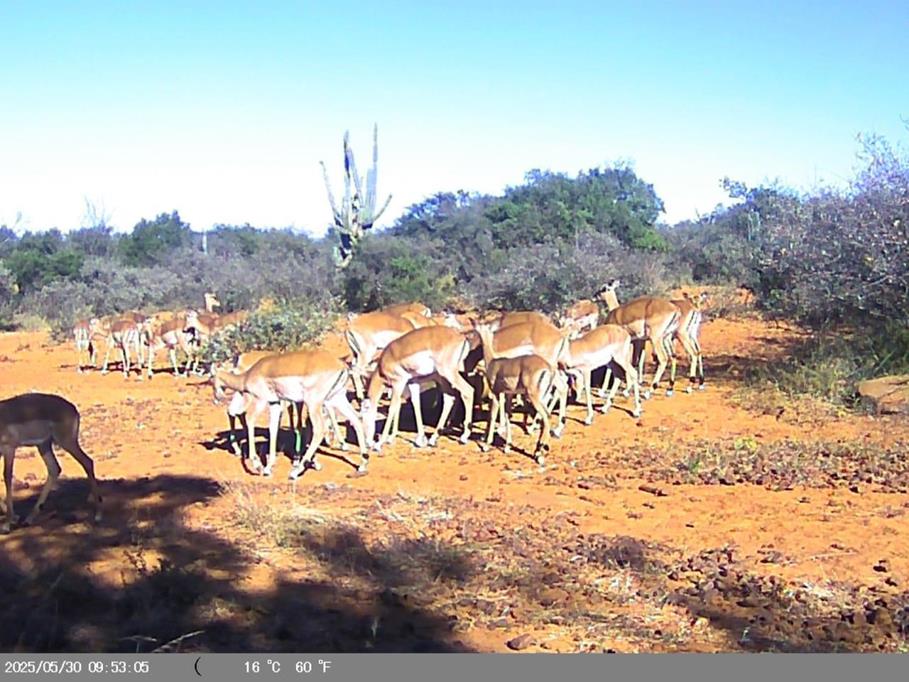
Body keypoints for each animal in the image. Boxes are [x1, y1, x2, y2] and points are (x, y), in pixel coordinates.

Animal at [0, 393, 103, 533]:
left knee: (87, 462)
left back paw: (98, 515)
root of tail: (72, 408)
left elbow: (7, 476)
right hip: (44, 445)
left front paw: (7, 524)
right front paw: (14, 518)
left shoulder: (9, 449)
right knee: (55, 468)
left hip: (66, 442)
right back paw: (28, 519)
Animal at [212, 349, 367, 479]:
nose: (216, 399)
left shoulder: (261, 400)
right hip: (336, 399)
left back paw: (296, 471)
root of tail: (341, 365)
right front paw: (268, 467)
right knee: (356, 420)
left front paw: (258, 466)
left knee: (319, 429)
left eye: (211, 377)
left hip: (314, 403)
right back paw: (362, 465)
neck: (249, 375)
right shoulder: (275, 403)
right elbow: (273, 428)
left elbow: (250, 421)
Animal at [472, 324, 554, 465]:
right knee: (546, 417)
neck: (493, 361)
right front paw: (507, 446)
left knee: (546, 417)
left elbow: (492, 416)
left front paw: (486, 445)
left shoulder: (496, 393)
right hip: (542, 397)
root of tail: (546, 368)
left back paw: (539, 453)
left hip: (533, 397)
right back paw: (539, 450)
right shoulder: (508, 395)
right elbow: (507, 416)